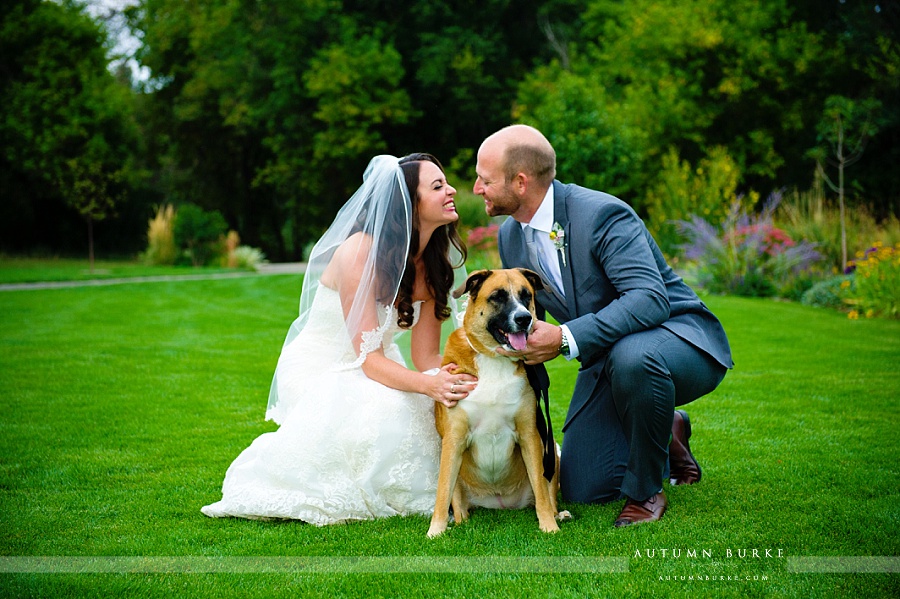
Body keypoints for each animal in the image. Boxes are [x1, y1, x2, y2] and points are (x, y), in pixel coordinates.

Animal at [426, 270, 568, 536]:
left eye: (526, 295)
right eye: (497, 297)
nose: (524, 319)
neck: (494, 357)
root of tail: (499, 502)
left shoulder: (530, 434)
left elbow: (542, 492)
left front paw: (548, 526)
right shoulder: (453, 438)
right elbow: (442, 492)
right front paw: (435, 531)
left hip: (551, 450)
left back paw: (559, 515)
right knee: (457, 502)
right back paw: (459, 521)